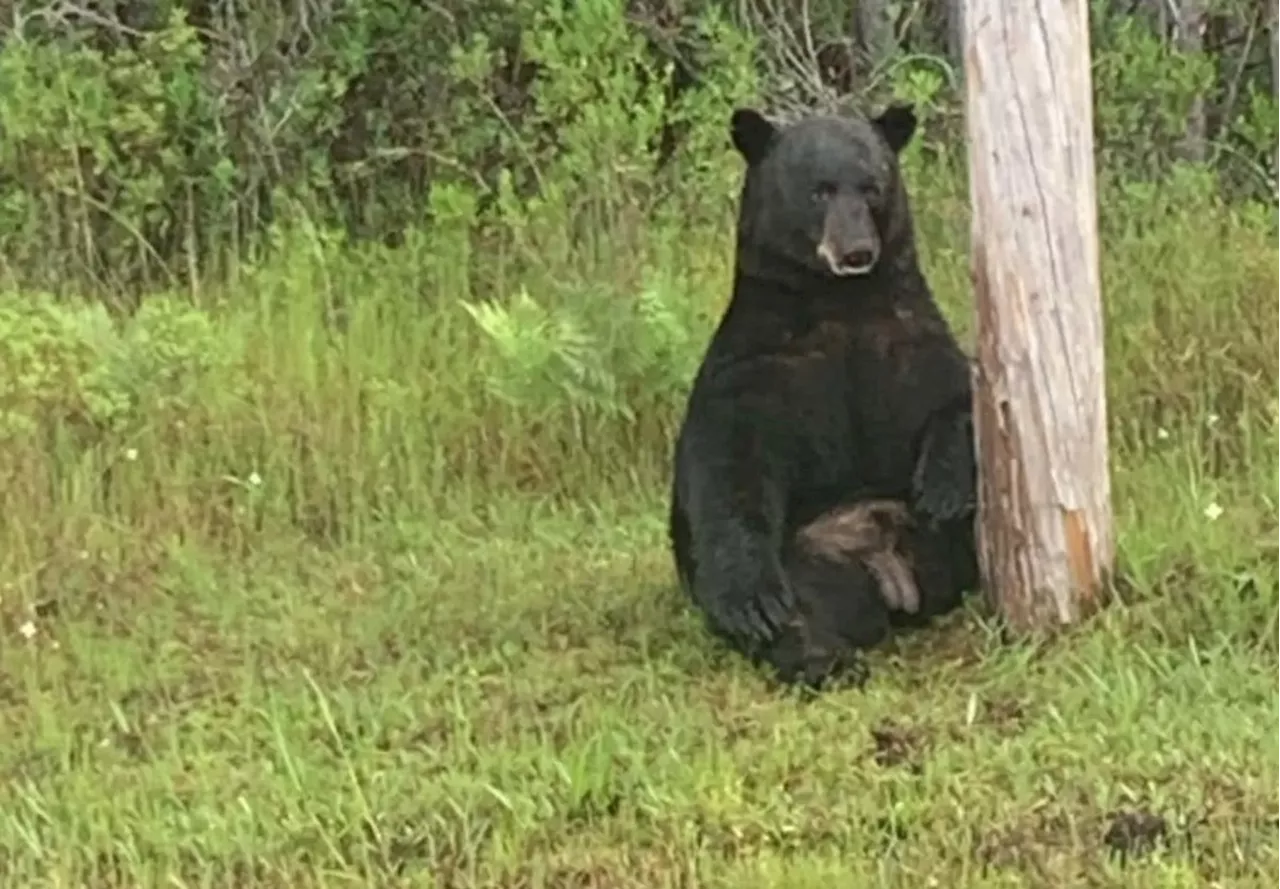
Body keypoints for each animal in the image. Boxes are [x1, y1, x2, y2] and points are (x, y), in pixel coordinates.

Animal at [665, 102, 972, 690]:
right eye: (818, 191)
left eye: (872, 187)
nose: (856, 252)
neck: (840, 301)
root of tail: (894, 574)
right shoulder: (758, 366)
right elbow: (729, 466)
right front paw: (751, 602)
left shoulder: (909, 338)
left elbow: (958, 394)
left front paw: (945, 486)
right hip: (811, 559)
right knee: (800, 610)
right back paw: (820, 656)